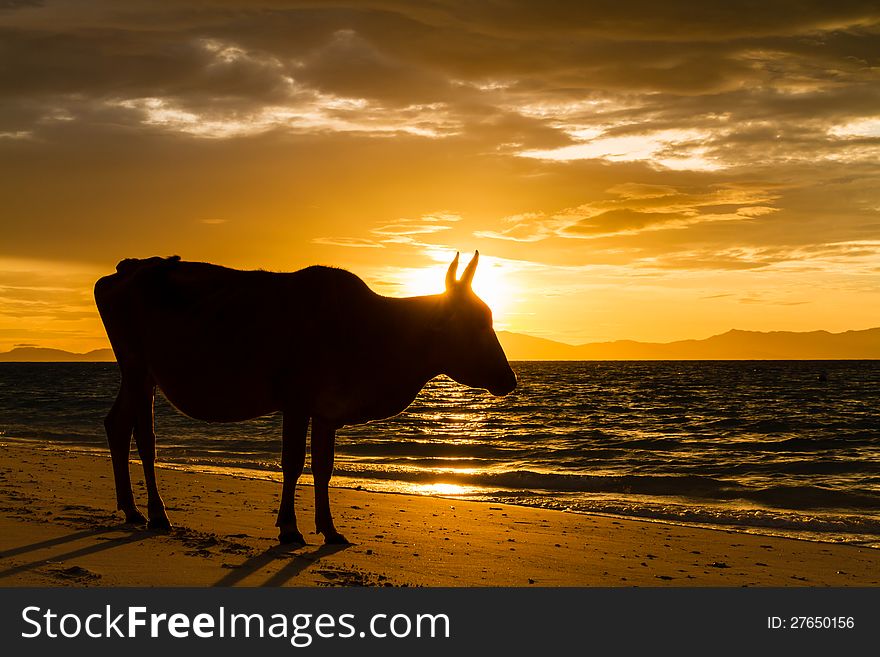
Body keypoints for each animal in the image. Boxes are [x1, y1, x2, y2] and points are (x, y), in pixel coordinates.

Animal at [94, 251, 516, 544]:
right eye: (475, 323)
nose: (509, 378)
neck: (378, 333)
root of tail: (126, 269)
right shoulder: (296, 401)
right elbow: (293, 463)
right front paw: (290, 529)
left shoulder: (327, 411)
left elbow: (323, 468)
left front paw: (329, 530)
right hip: (137, 367)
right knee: (140, 435)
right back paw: (154, 512)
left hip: (141, 374)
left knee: (121, 426)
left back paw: (133, 509)